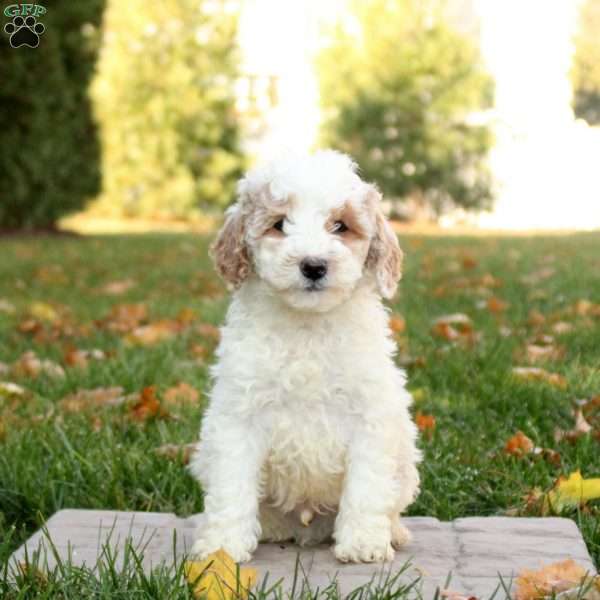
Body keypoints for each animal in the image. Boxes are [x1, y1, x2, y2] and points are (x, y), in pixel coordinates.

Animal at [190, 149, 420, 564]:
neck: (307, 326)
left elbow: (366, 484)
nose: (313, 265)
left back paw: (393, 532)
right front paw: (222, 547)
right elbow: (232, 484)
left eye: (340, 226)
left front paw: (363, 543)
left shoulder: (370, 415)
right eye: (279, 224)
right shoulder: (239, 415)